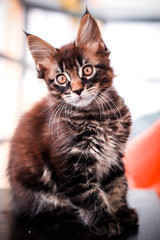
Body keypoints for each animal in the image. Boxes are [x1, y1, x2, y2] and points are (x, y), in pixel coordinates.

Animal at [7, 10, 138, 236]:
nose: (77, 90)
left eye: (87, 70)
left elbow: (117, 186)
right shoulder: (70, 166)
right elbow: (89, 196)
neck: (97, 115)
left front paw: (121, 213)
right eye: (61, 79)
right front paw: (105, 222)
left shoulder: (114, 156)